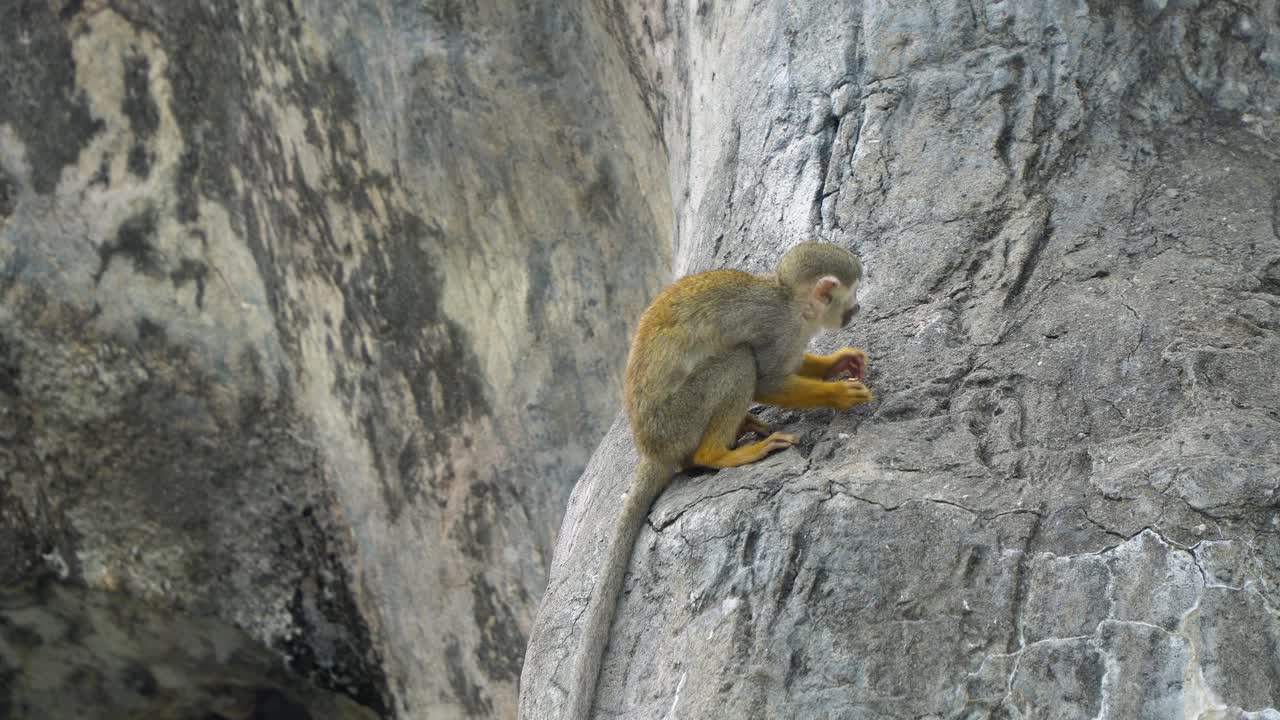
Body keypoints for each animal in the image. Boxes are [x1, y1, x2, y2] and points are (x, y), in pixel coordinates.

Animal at [563, 242, 872, 720]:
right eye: (850, 294)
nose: (855, 310)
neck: (789, 301)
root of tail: (652, 447)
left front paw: (839, 362)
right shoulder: (778, 327)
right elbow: (768, 378)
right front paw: (838, 394)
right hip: (679, 418)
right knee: (737, 360)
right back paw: (720, 453)